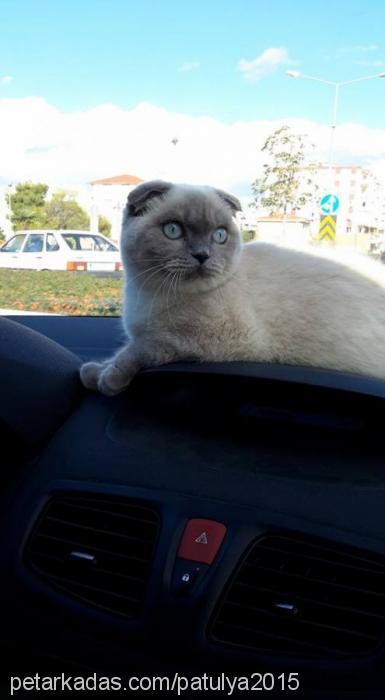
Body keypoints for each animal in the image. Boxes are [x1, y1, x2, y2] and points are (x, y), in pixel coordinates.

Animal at [81, 178, 385, 396]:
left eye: (219, 235)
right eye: (173, 230)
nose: (202, 255)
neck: (148, 293)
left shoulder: (197, 340)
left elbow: (135, 351)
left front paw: (107, 379)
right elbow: (119, 352)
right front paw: (93, 371)